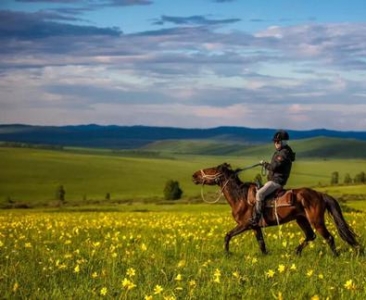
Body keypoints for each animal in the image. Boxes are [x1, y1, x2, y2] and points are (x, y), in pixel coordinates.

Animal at [193, 163, 358, 256]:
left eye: (212, 170)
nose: (194, 175)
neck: (240, 197)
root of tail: (320, 194)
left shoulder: (245, 225)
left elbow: (227, 236)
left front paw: (227, 253)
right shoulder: (255, 227)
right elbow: (261, 243)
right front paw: (265, 255)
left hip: (316, 221)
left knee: (329, 237)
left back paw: (335, 256)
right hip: (301, 219)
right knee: (311, 236)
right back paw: (296, 252)